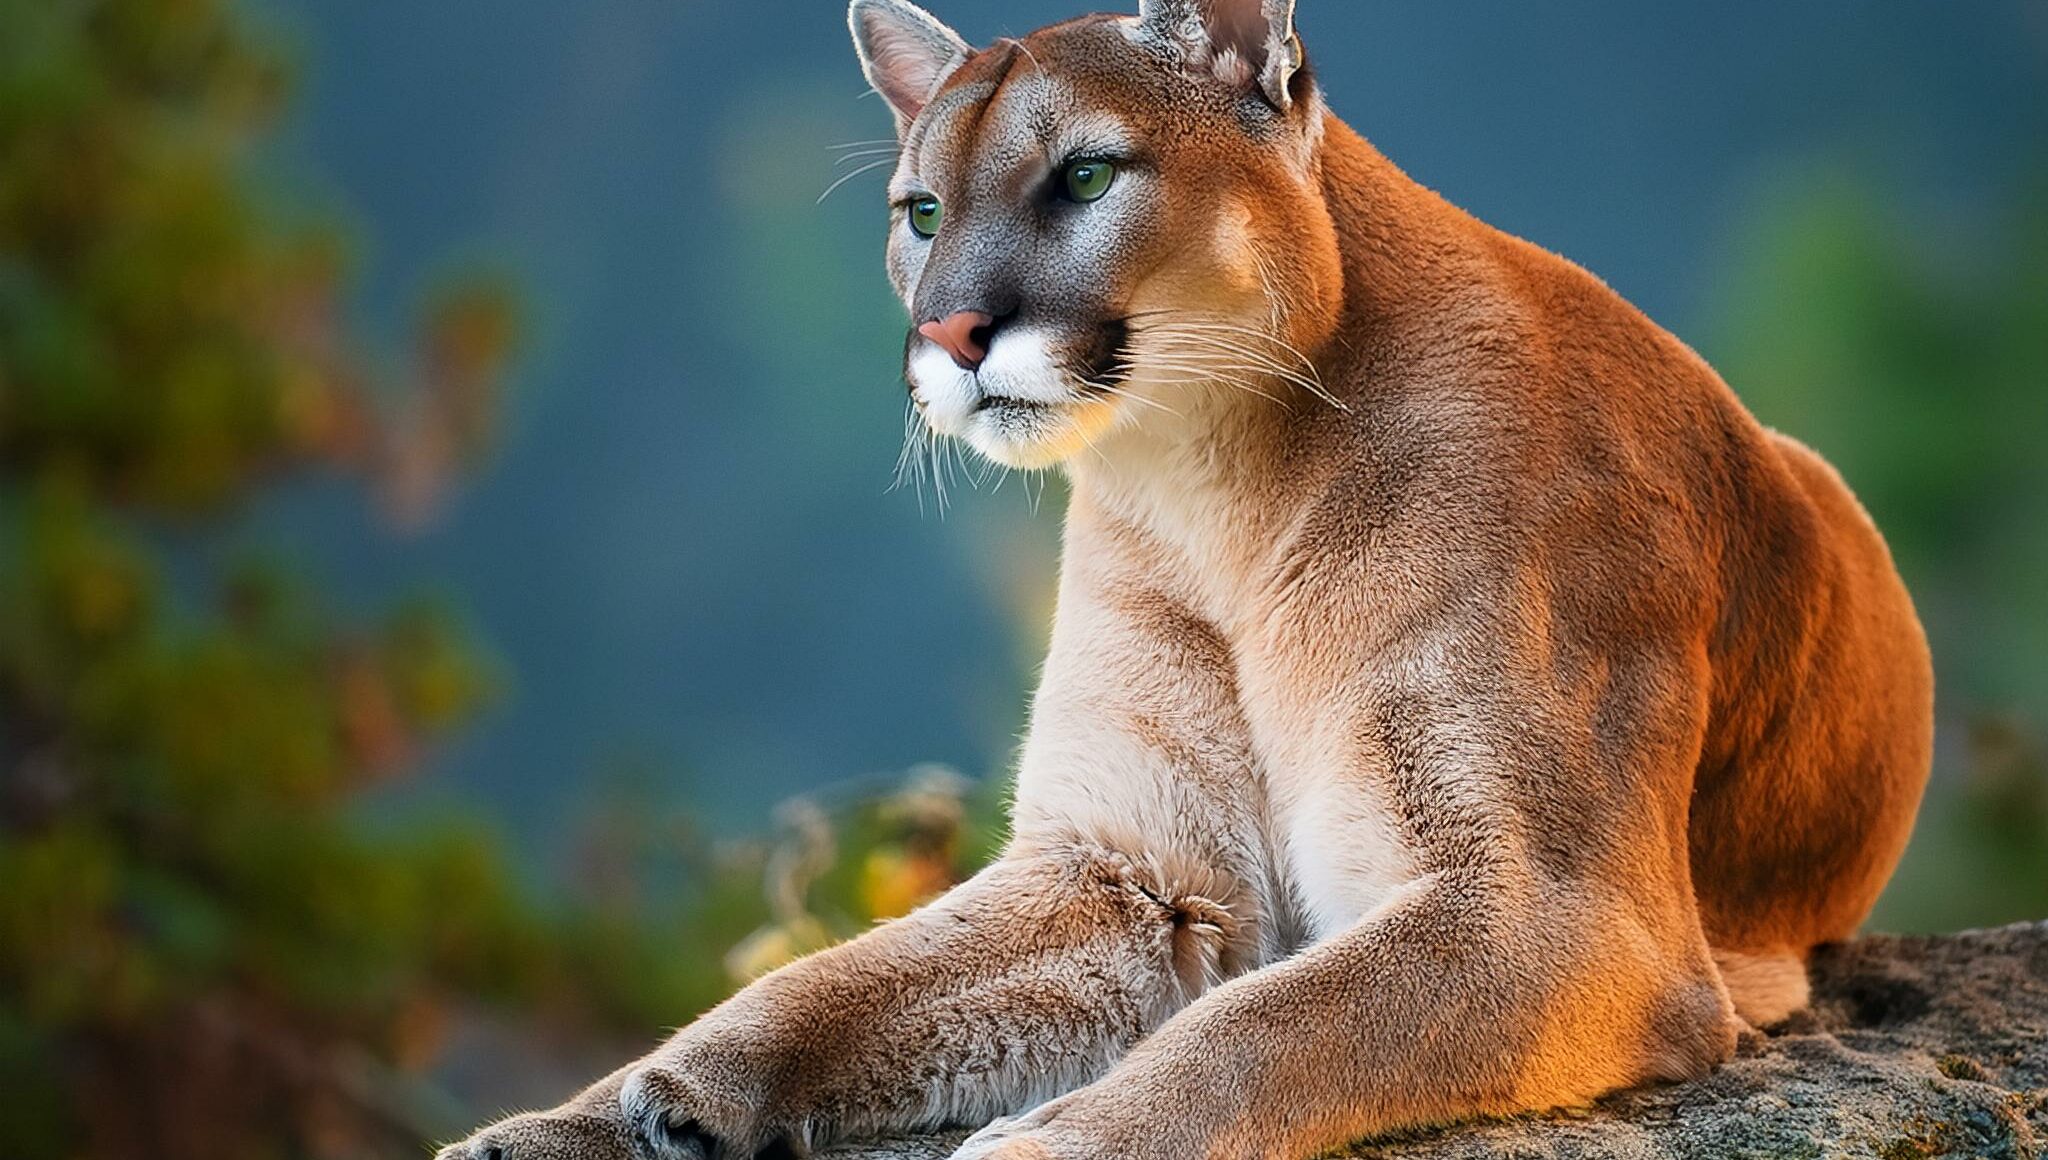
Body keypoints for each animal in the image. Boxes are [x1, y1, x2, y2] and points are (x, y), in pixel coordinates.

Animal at [436, 2, 1933, 1160]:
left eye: (1087, 178)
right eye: (920, 212)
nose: (949, 331)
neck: (1215, 495)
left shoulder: (1551, 907)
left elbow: (1269, 1025)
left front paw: (1048, 1144)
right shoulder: (1129, 872)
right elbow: (834, 980)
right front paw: (598, 1116)